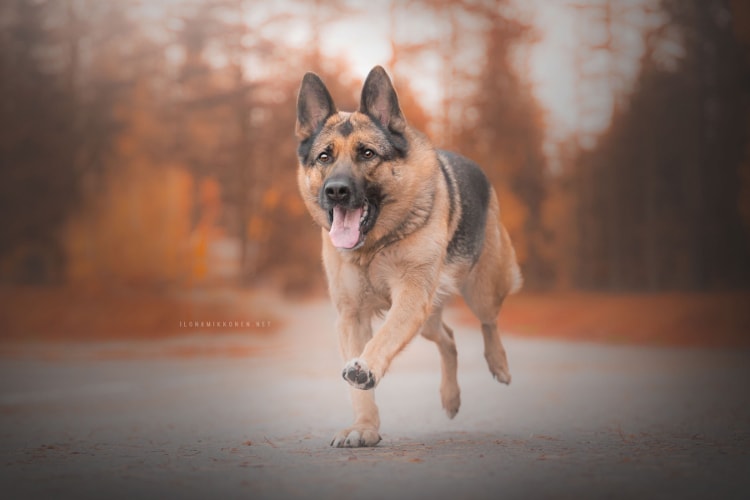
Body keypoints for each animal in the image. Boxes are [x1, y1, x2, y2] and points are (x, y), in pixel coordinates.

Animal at [296, 65, 524, 446]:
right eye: (324, 157)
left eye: (367, 154)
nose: (336, 191)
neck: (373, 246)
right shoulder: (351, 316)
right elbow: (359, 388)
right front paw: (364, 427)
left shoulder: (410, 296)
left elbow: (383, 337)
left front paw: (366, 367)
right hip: (428, 318)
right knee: (448, 338)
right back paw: (450, 397)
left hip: (480, 289)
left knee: (489, 321)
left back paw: (500, 365)